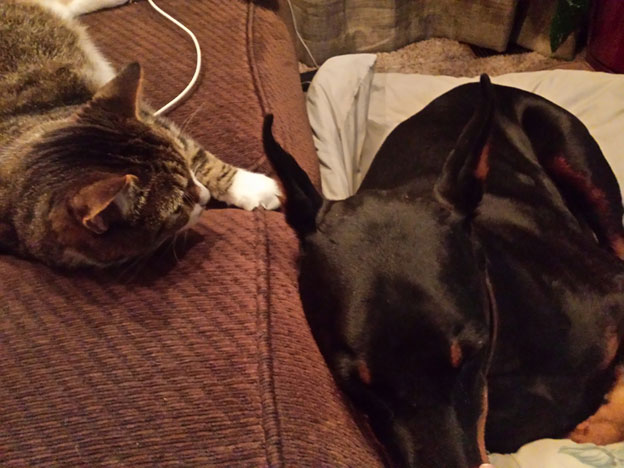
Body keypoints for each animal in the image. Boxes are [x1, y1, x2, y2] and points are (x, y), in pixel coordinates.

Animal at [0, 0, 280, 268]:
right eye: (179, 206)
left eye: (187, 170)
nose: (206, 196)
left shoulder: (154, 122)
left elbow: (201, 157)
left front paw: (256, 188)